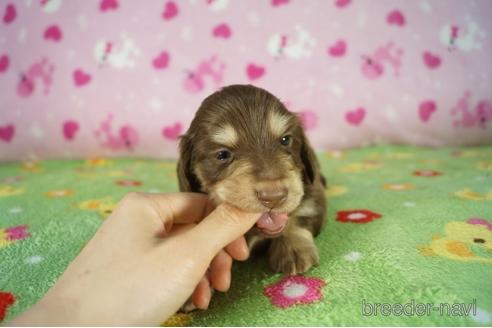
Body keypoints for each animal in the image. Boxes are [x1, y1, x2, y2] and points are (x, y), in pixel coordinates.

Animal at [177, 83, 326, 276]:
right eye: (222, 155)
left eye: (285, 140)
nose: (273, 197)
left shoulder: (312, 191)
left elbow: (300, 212)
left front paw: (293, 248)